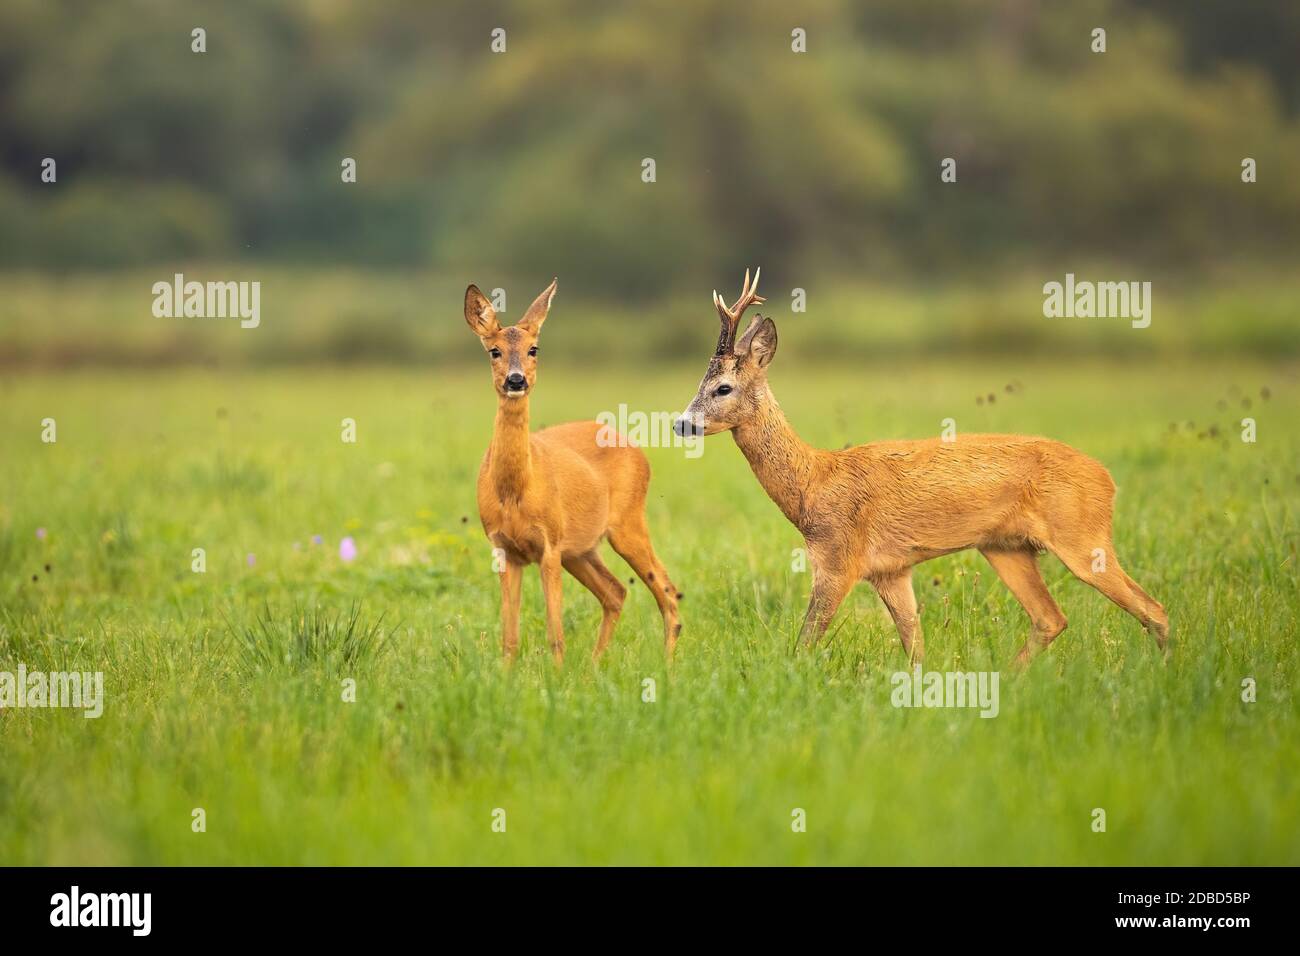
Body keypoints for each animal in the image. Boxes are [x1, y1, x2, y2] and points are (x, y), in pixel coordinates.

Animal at [465, 280, 686, 660]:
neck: (515, 491)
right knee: (616, 591)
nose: (515, 380)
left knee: (666, 590)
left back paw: (666, 665)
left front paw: (557, 672)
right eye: (494, 351)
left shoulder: (549, 545)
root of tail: (640, 453)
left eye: (534, 348)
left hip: (626, 523)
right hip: (581, 550)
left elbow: (556, 635)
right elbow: (509, 639)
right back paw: (595, 665)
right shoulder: (505, 549)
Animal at [676, 269, 1175, 665]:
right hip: (1006, 547)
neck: (813, 483)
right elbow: (915, 645)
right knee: (1052, 618)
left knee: (1154, 609)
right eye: (699, 382)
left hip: (1081, 535)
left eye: (722, 387)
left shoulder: (837, 558)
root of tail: (1107, 479)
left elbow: (805, 642)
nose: (682, 423)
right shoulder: (892, 570)